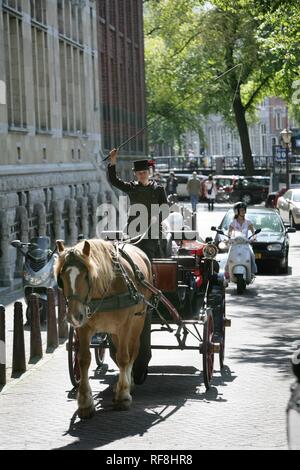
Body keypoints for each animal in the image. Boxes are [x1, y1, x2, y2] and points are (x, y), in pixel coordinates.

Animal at [54, 239, 152, 418]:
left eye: (87, 276)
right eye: (61, 278)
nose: (73, 316)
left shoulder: (125, 326)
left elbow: (124, 357)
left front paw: (123, 396)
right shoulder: (84, 328)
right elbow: (83, 359)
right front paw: (85, 403)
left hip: (138, 321)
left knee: (132, 351)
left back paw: (127, 385)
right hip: (113, 332)